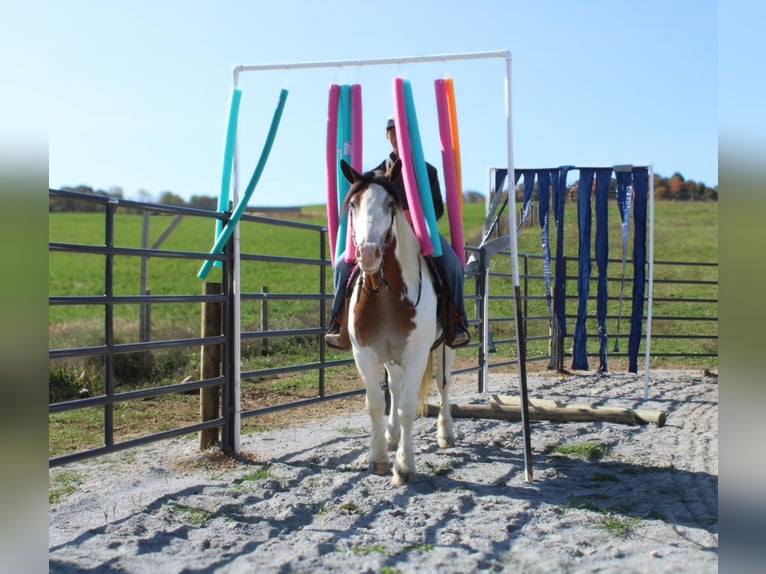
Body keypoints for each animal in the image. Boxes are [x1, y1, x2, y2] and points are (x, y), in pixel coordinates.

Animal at [342, 160, 456, 488]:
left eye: (390, 204)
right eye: (353, 203)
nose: (368, 253)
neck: (386, 293)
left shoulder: (417, 354)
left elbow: (407, 407)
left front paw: (404, 467)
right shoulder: (364, 353)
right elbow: (376, 403)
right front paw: (378, 457)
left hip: (445, 347)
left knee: (443, 384)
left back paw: (446, 432)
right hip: (392, 356)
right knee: (393, 385)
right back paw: (391, 436)